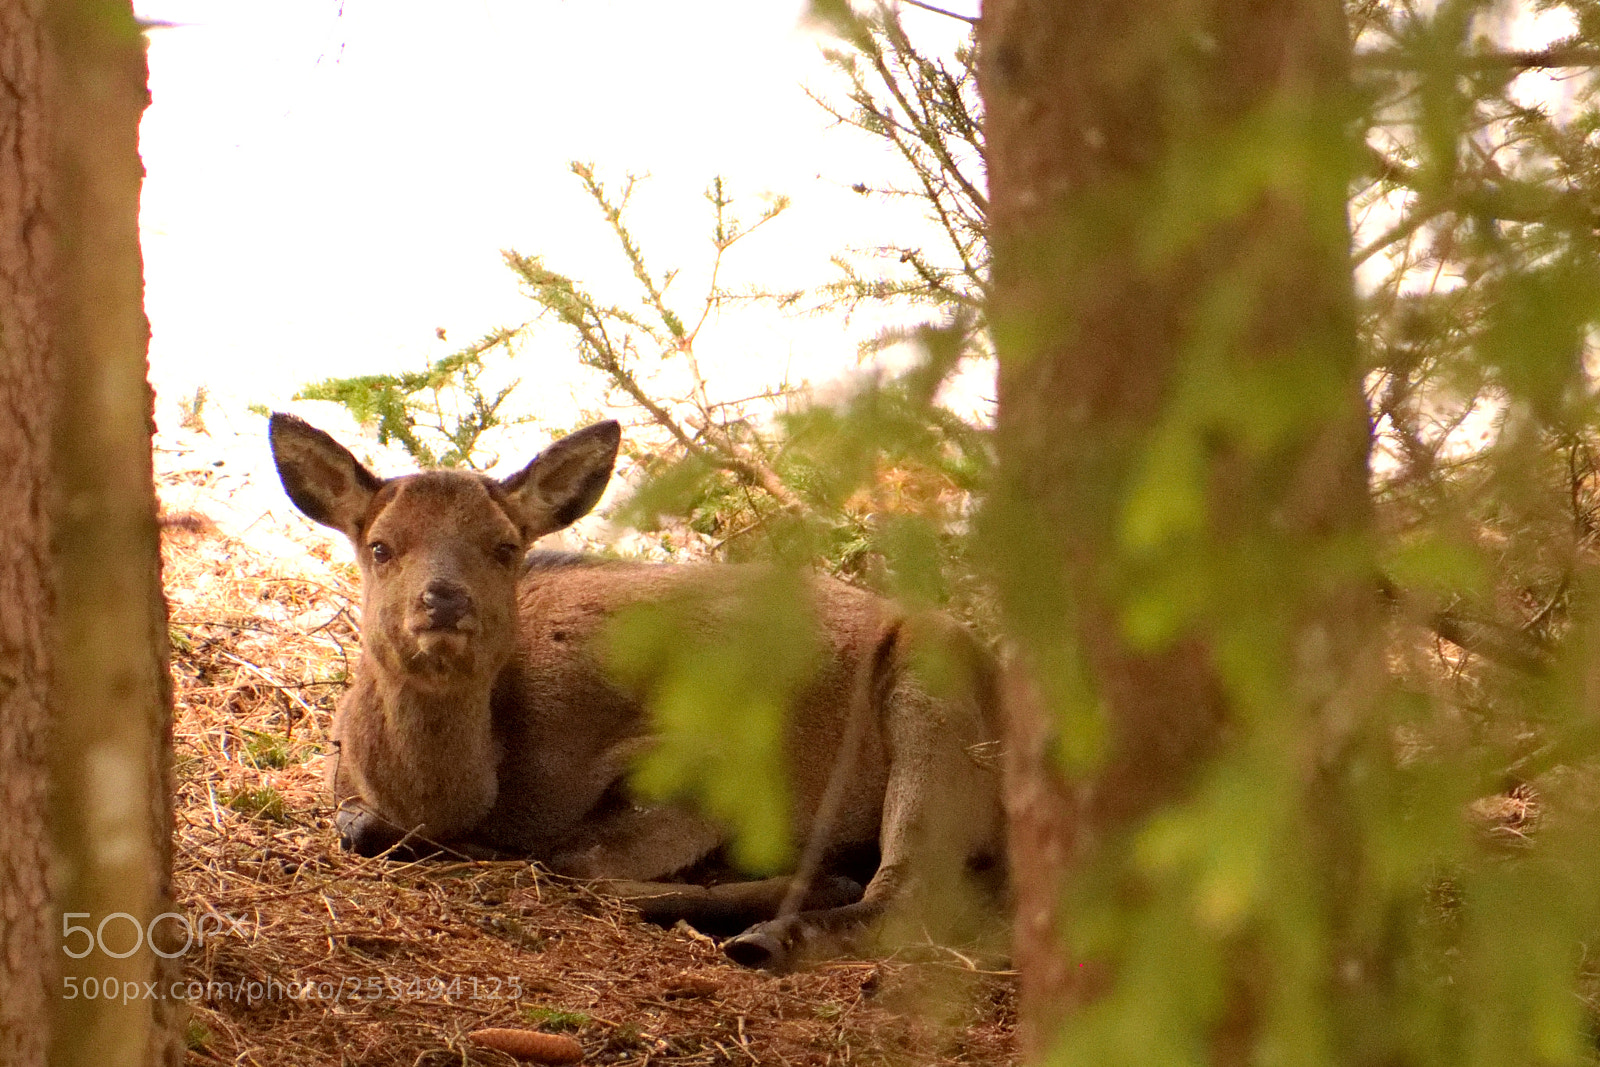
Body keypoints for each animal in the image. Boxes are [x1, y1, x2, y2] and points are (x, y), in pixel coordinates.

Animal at [268, 413, 1005, 970]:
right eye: (381, 545)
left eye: (505, 546)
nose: (444, 600)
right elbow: (360, 825)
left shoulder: (705, 766)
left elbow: (576, 858)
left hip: (935, 700)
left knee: (911, 891)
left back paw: (768, 934)